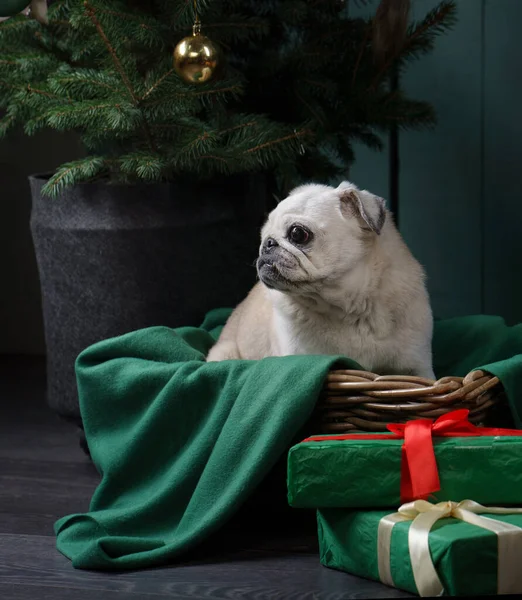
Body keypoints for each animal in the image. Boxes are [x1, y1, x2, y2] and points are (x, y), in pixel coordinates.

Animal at [205, 179, 432, 380]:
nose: (267, 244)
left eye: (297, 233)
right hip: (224, 354)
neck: (348, 310)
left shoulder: (419, 367)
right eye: (263, 237)